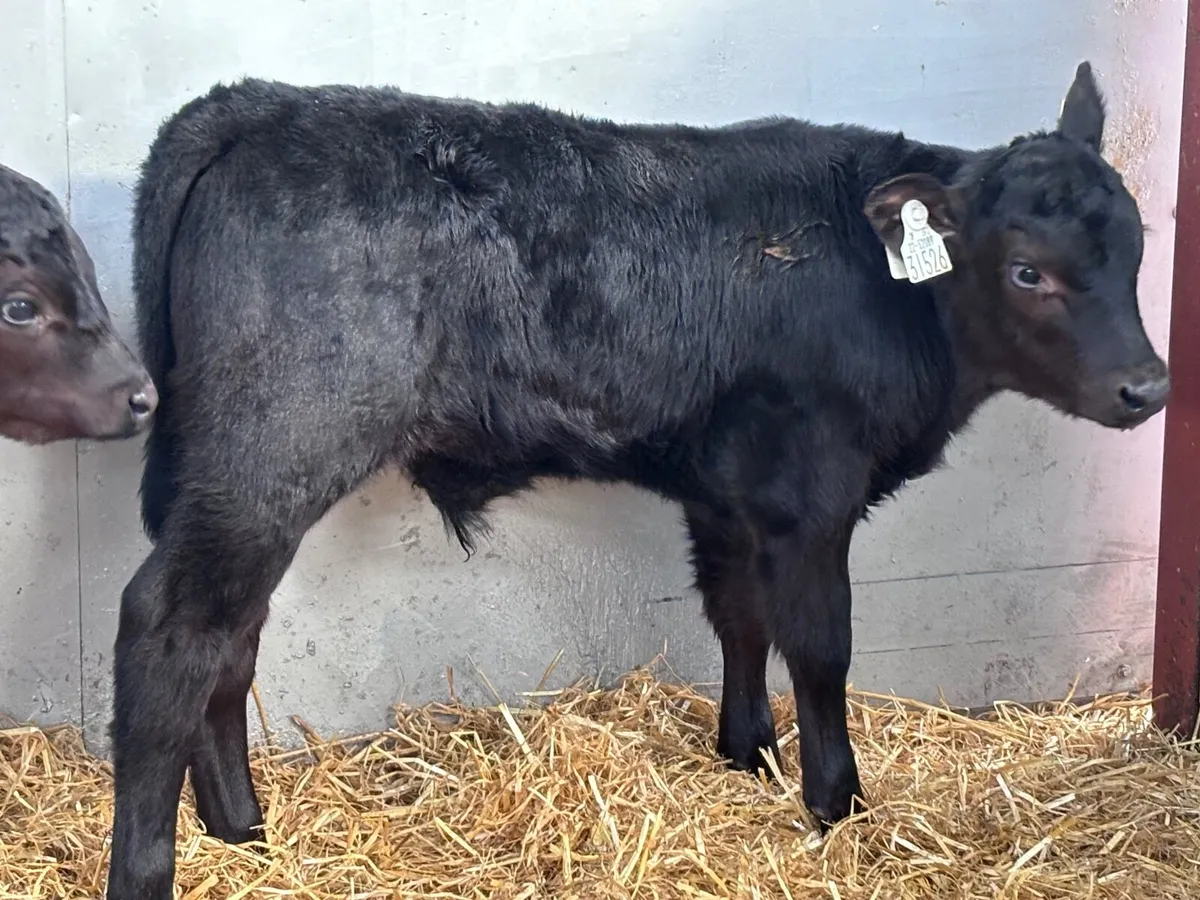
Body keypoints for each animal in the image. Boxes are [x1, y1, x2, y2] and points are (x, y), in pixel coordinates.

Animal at [104, 61, 1168, 899]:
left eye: (1139, 245)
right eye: (1027, 271)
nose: (1148, 385)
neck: (887, 291)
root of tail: (256, 104)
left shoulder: (727, 491)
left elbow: (738, 615)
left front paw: (749, 752)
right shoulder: (810, 493)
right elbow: (821, 644)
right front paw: (837, 802)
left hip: (235, 472)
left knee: (231, 635)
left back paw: (241, 828)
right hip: (273, 450)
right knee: (172, 627)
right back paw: (152, 867)